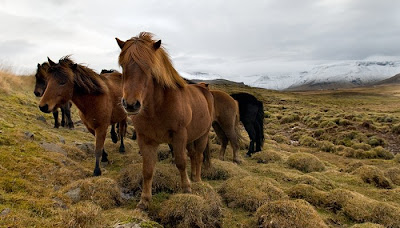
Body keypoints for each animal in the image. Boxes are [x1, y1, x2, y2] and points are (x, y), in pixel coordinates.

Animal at [116, 32, 216, 210]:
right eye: (123, 66)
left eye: (149, 67)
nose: (131, 104)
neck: (157, 107)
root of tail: (204, 89)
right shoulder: (145, 139)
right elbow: (147, 169)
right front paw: (144, 200)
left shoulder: (179, 136)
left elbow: (181, 162)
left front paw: (187, 189)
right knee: (193, 155)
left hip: (202, 135)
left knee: (198, 156)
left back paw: (197, 180)